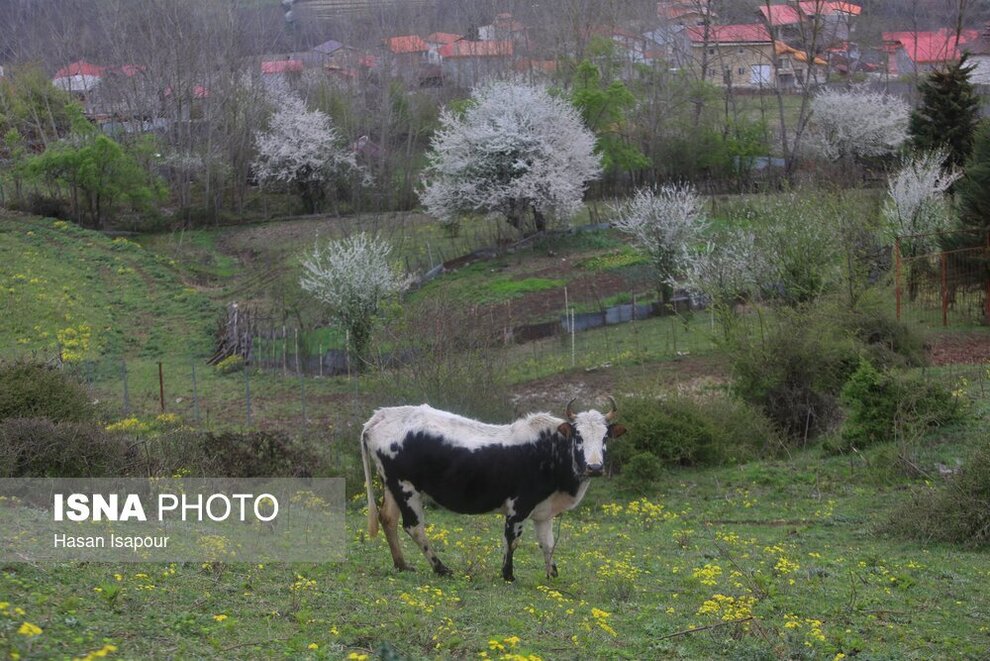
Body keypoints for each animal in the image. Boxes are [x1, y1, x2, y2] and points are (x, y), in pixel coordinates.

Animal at [364, 398, 628, 576]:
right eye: (578, 437)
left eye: (605, 437)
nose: (594, 467)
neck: (549, 450)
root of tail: (381, 415)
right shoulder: (518, 506)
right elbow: (512, 540)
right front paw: (508, 575)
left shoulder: (543, 512)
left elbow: (548, 543)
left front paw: (551, 574)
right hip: (406, 488)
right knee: (414, 527)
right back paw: (441, 568)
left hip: (392, 486)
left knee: (388, 519)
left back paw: (401, 564)